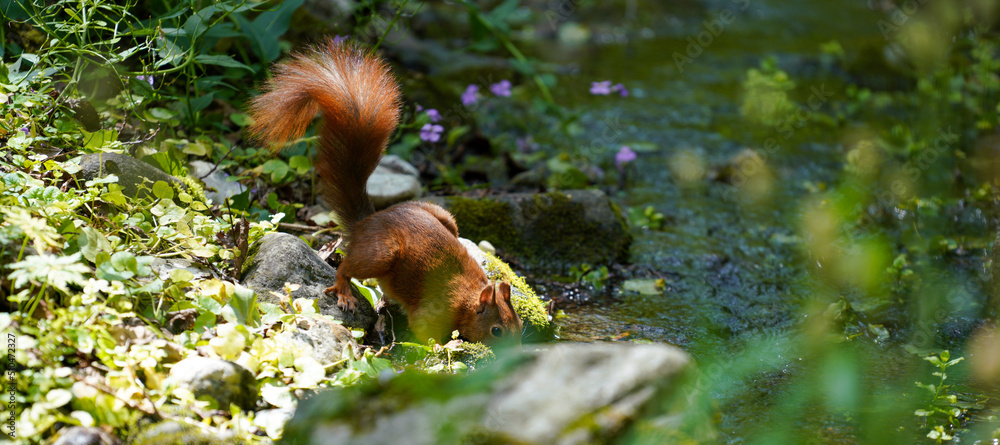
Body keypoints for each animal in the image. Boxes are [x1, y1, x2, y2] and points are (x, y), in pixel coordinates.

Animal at [247, 40, 523, 345]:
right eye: (496, 331)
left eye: (521, 326)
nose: (517, 352)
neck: (467, 299)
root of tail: (367, 222)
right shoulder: (433, 311)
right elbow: (425, 334)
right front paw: (446, 346)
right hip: (381, 254)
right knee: (346, 267)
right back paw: (344, 291)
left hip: (444, 218)